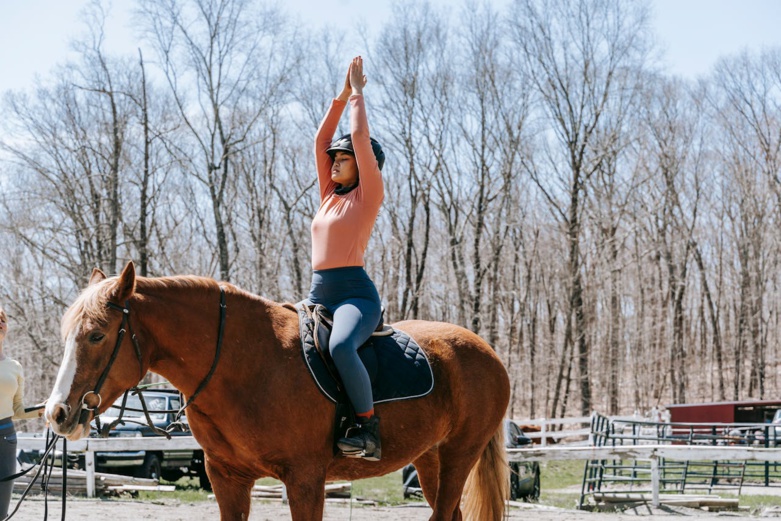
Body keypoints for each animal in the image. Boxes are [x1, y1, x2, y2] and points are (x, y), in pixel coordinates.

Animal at [44, 264, 512, 520]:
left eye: (97, 335)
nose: (56, 413)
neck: (246, 364)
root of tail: (486, 351)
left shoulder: (305, 480)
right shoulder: (227, 479)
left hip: (459, 455)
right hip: (430, 459)